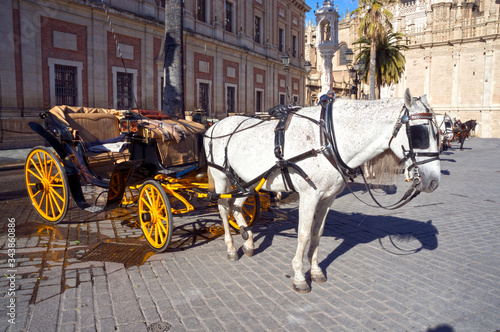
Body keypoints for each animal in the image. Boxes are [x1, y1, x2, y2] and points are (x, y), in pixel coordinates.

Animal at [202, 89, 438, 294]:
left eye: (439, 132)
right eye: (420, 133)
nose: (434, 181)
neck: (327, 139)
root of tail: (214, 127)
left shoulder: (328, 197)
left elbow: (317, 233)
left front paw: (315, 271)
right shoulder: (309, 196)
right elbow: (304, 234)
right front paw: (299, 277)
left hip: (248, 180)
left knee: (237, 205)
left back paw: (249, 241)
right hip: (222, 176)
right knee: (223, 208)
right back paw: (232, 248)